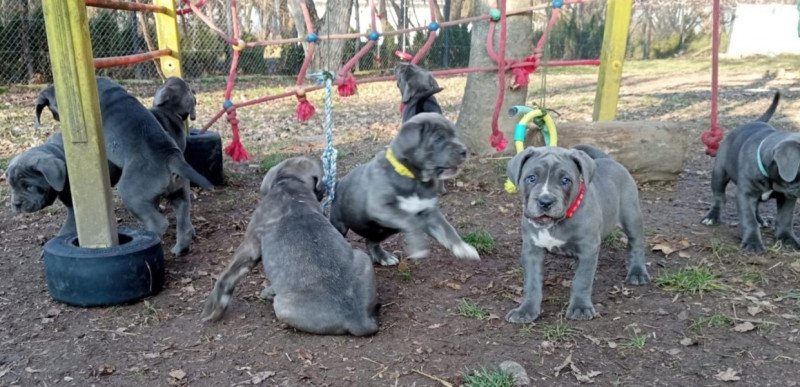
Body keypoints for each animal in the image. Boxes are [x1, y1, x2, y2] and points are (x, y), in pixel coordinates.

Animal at [34, 77, 211, 256]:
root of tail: (170, 157)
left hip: (130, 194)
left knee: (159, 223)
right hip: (179, 192)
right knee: (183, 219)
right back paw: (180, 248)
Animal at [205, 158, 382, 336]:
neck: (289, 183)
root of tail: (358, 320)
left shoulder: (250, 245)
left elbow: (227, 275)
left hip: (282, 307)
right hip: (361, 257)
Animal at [328, 112, 478, 266]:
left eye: (454, 135)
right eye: (438, 139)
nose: (464, 151)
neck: (414, 178)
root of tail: (338, 183)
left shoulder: (430, 212)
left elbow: (447, 229)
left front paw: (463, 247)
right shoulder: (381, 207)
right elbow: (410, 220)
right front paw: (418, 247)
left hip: (381, 231)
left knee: (371, 242)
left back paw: (383, 257)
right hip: (340, 223)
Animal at [506, 144, 648, 322]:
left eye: (565, 180)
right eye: (531, 178)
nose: (545, 201)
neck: (556, 224)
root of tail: (609, 159)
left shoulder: (588, 248)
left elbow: (582, 280)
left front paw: (580, 307)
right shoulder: (532, 250)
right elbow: (532, 282)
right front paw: (526, 310)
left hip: (631, 215)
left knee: (636, 244)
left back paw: (638, 273)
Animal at [700, 92, 792, 253]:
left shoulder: (787, 197)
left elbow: (785, 218)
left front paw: (788, 238)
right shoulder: (745, 194)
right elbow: (749, 219)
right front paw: (753, 243)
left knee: (756, 207)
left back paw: (760, 220)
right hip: (719, 173)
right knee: (719, 196)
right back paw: (712, 216)